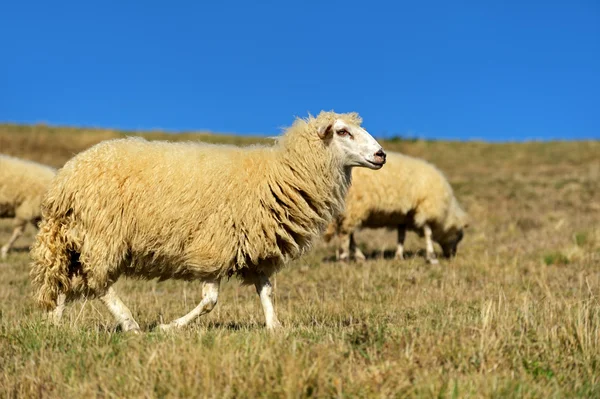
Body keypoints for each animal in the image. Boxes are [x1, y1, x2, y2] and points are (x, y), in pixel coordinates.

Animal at [31, 111, 390, 332]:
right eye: (343, 131)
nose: (381, 155)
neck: (280, 175)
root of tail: (66, 178)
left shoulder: (256, 250)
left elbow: (266, 292)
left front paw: (274, 328)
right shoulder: (214, 246)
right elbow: (210, 301)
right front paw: (169, 327)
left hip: (75, 240)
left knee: (64, 284)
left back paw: (55, 325)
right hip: (103, 235)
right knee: (99, 284)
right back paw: (130, 324)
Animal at [324, 153, 468, 266]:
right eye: (459, 236)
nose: (452, 255)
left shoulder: (404, 217)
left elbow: (401, 237)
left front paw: (399, 256)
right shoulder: (425, 208)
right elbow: (428, 233)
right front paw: (431, 258)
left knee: (349, 234)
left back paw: (359, 257)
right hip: (353, 206)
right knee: (345, 233)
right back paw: (344, 258)